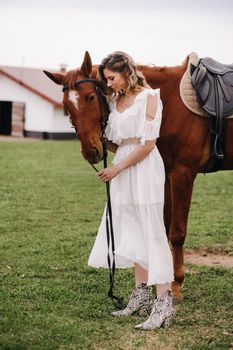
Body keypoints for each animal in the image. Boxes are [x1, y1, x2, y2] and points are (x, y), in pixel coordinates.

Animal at [43, 52, 233, 300]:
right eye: (66, 106)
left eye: (91, 97)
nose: (91, 152)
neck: (167, 102)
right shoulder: (167, 174)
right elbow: (163, 227)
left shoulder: (183, 174)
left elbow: (177, 232)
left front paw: (176, 284)